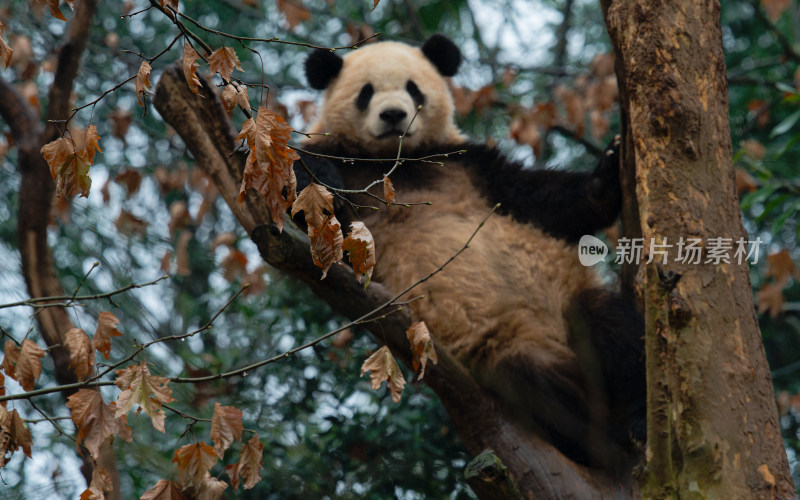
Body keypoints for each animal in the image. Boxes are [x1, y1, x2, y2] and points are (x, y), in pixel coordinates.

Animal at [296, 33, 648, 470]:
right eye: (366, 93)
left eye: (414, 89)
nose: (394, 115)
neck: (396, 160)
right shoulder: (347, 164)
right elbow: (312, 209)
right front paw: (326, 189)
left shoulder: (470, 166)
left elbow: (540, 198)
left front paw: (606, 174)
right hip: (504, 348)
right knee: (541, 388)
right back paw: (602, 439)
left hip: (569, 296)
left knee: (619, 333)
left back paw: (639, 420)